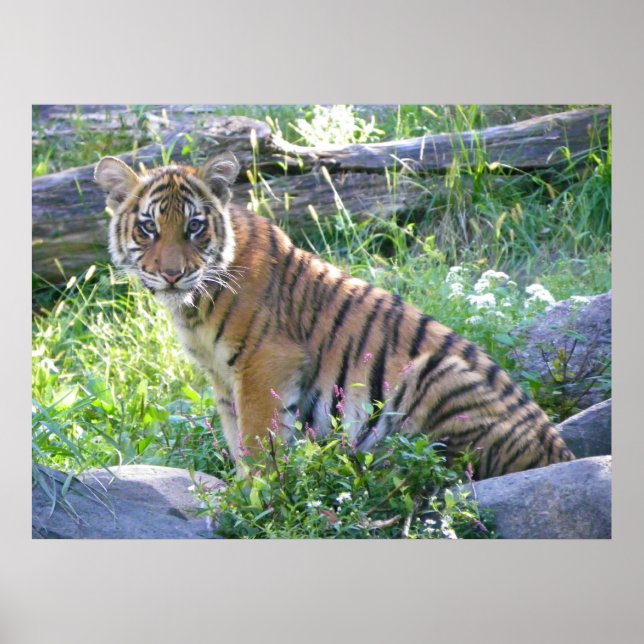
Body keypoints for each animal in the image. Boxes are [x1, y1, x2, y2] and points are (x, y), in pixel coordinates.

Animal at [95, 151, 574, 480]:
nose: (172, 274)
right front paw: (240, 490)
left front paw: (257, 498)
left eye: (194, 226)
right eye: (149, 228)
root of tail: (561, 453)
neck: (194, 304)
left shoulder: (265, 364)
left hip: (436, 373)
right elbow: (235, 439)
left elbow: (255, 440)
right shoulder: (223, 380)